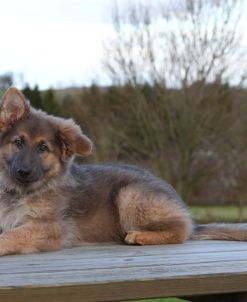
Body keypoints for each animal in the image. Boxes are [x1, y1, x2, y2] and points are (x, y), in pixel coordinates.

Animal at [0, 87, 246, 255]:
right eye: (18, 142)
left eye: (43, 148)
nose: (23, 171)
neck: (20, 192)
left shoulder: (49, 227)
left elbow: (12, 235)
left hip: (130, 194)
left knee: (180, 230)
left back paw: (140, 236)